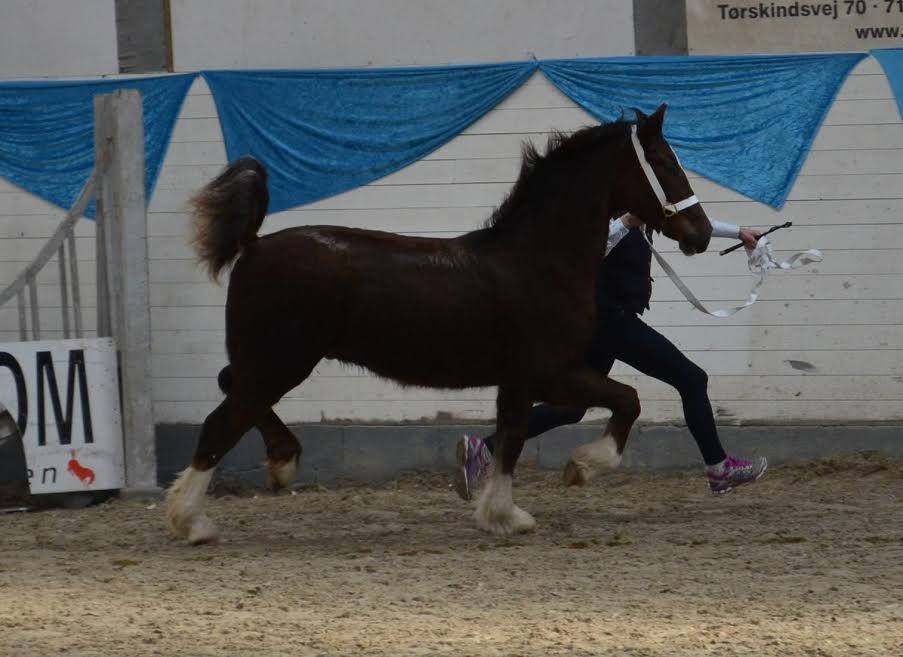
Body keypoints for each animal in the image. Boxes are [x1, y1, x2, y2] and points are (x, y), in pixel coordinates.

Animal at [166, 104, 708, 544]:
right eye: (664, 162)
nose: (700, 234)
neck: (537, 262)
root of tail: (253, 245)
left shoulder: (517, 381)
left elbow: (511, 438)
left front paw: (503, 516)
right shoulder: (553, 373)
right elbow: (627, 400)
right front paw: (582, 467)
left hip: (267, 359)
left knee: (231, 390)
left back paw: (282, 462)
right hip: (280, 360)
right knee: (222, 421)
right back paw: (192, 522)